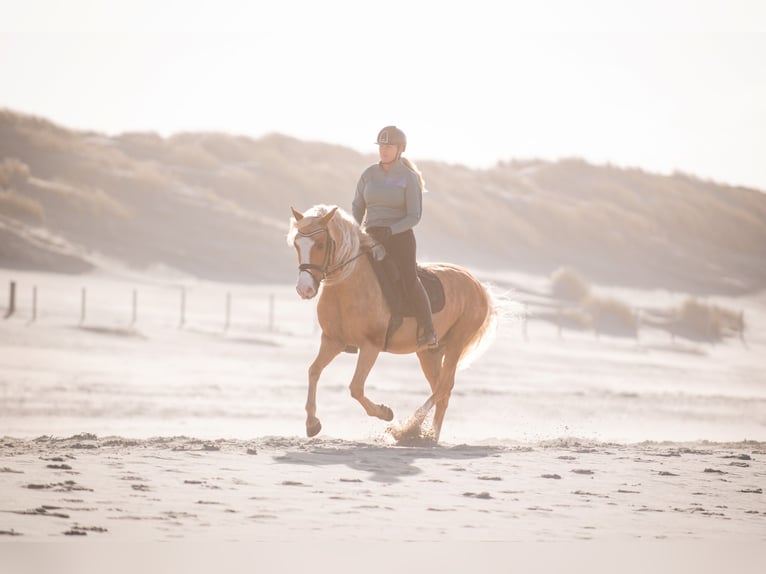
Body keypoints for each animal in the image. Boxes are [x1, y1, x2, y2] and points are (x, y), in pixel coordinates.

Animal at [288, 207, 498, 446]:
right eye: (297, 244)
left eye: (321, 244)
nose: (304, 289)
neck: (348, 283)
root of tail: (478, 286)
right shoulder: (332, 341)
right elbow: (313, 371)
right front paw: (312, 424)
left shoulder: (370, 346)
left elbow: (356, 388)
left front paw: (385, 413)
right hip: (430, 352)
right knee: (442, 391)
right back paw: (429, 436)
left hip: (456, 343)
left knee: (444, 386)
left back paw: (408, 429)